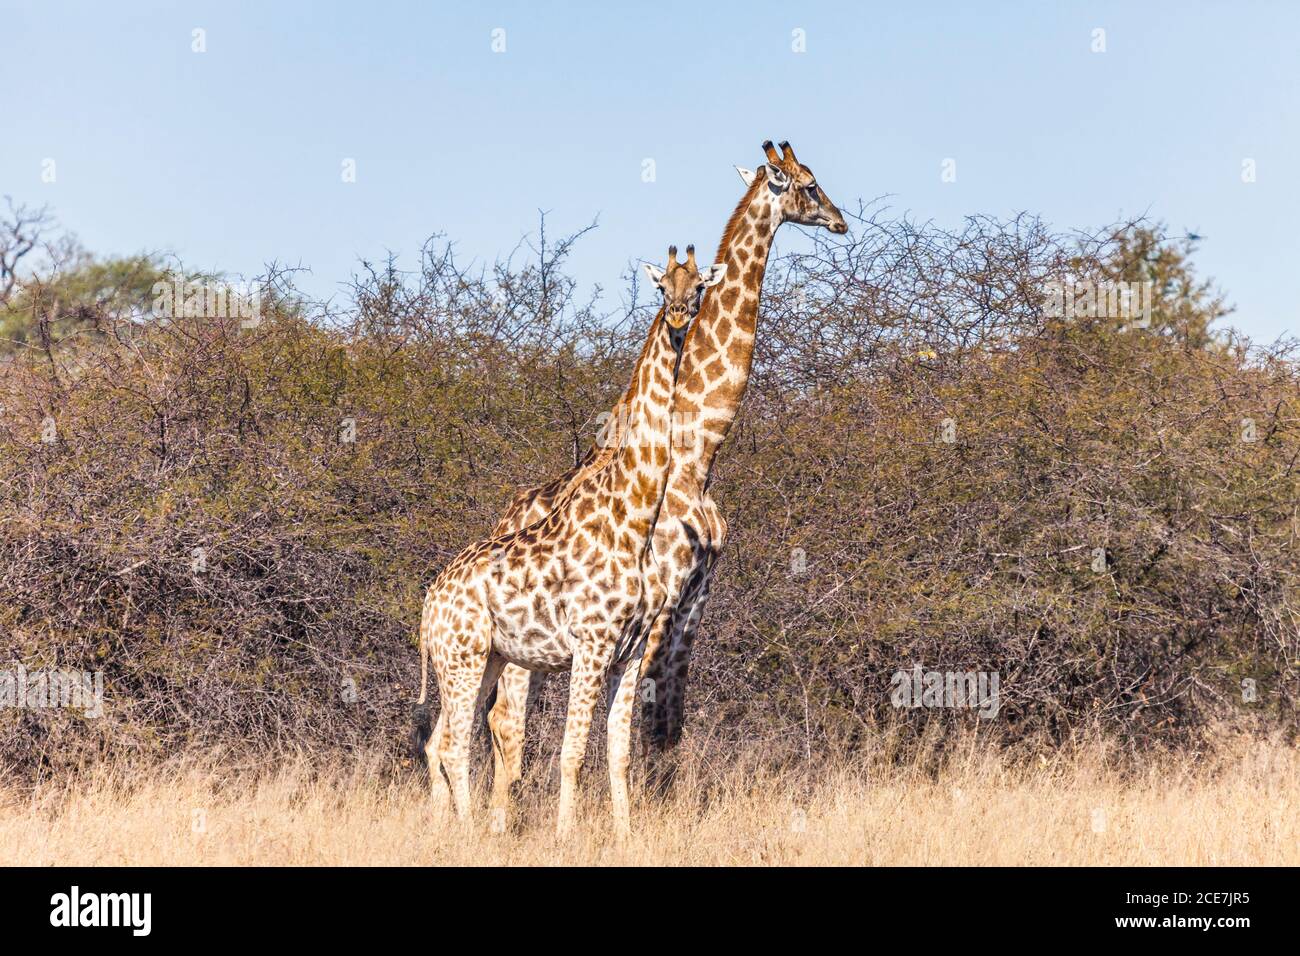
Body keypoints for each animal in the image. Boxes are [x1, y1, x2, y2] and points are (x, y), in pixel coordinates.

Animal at [416, 247, 722, 837]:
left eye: (698, 286)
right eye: (661, 288)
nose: (677, 319)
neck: (634, 520)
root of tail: (428, 603)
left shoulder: (629, 652)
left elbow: (617, 751)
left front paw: (625, 835)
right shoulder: (591, 644)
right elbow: (572, 751)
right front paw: (565, 834)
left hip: (480, 660)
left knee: (441, 740)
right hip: (463, 657)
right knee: (456, 743)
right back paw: (468, 831)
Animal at [488, 138, 852, 790]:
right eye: (808, 184)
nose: (841, 219)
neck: (698, 446)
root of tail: (504, 518)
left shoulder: (695, 596)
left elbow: (670, 724)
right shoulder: (658, 595)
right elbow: (640, 720)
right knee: (507, 720)